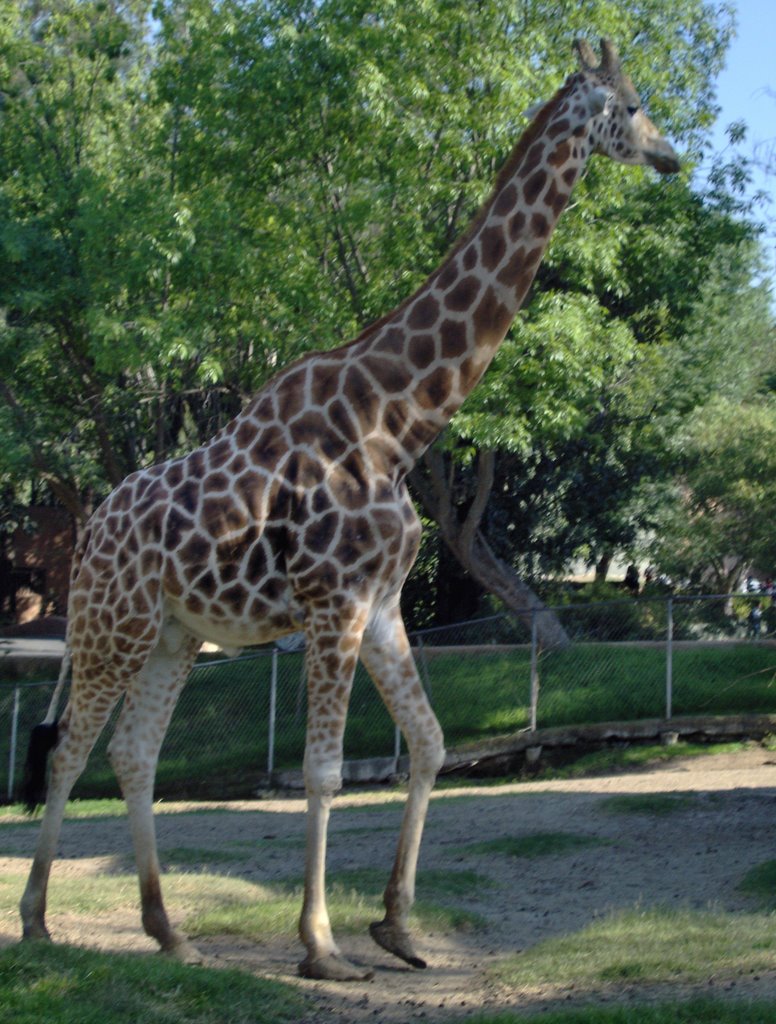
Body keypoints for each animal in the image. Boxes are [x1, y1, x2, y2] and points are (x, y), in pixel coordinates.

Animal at [21, 41, 679, 983]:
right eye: (626, 104)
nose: (670, 157)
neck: (399, 420)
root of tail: (89, 534)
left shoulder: (382, 604)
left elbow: (431, 743)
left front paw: (398, 928)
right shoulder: (332, 603)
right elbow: (324, 771)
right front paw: (323, 946)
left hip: (177, 633)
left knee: (132, 753)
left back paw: (169, 931)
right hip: (113, 625)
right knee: (73, 750)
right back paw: (38, 920)